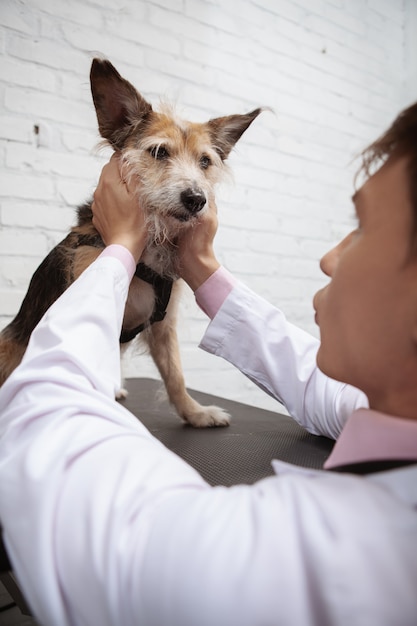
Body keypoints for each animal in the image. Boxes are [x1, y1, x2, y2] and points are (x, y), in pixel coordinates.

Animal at [0, 58, 260, 426]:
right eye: (159, 152)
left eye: (205, 162)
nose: (197, 199)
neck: (147, 248)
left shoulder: (164, 324)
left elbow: (175, 374)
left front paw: (195, 413)